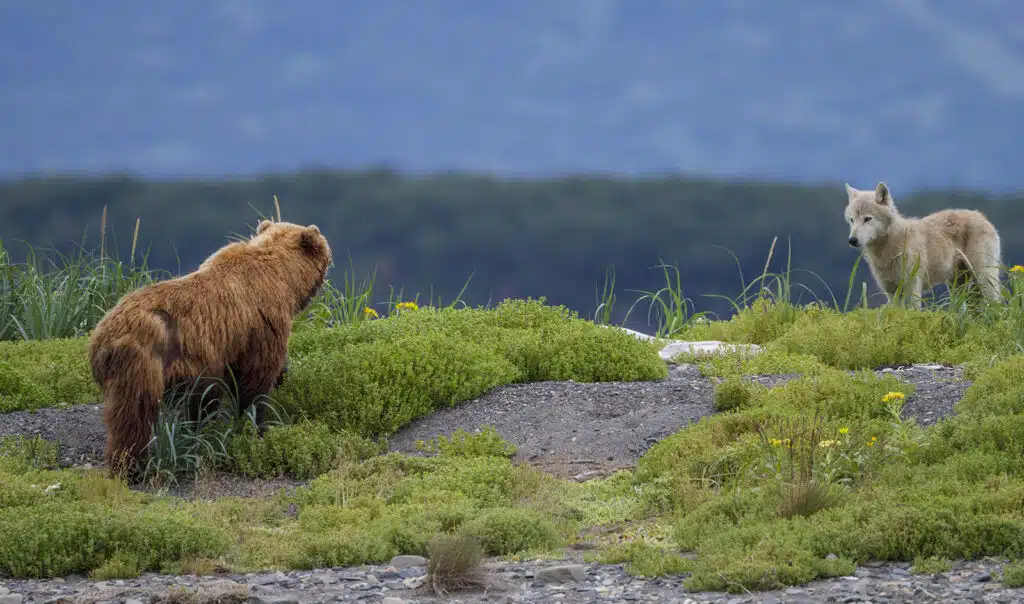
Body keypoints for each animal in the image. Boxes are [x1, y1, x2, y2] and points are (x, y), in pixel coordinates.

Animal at [88, 219, 332, 480]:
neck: (284, 279)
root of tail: (100, 338)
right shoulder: (262, 325)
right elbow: (255, 381)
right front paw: (258, 426)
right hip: (143, 362)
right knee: (135, 414)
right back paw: (132, 466)